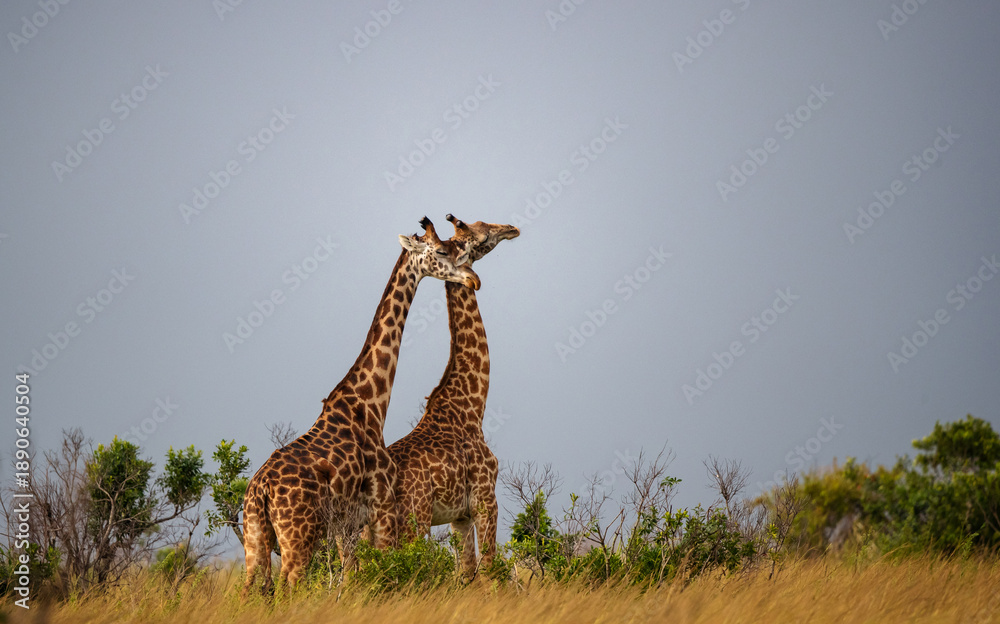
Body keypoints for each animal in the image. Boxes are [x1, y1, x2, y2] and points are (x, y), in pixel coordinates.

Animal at [241, 218, 481, 596]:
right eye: (442, 251)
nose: (473, 279)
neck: (369, 404)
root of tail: (260, 490)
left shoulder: (349, 525)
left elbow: (350, 579)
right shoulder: (381, 506)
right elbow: (383, 574)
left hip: (253, 535)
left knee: (250, 589)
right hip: (297, 537)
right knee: (289, 587)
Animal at [386, 214, 519, 578]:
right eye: (480, 233)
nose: (512, 229)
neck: (472, 406)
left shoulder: (459, 517)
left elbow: (467, 573)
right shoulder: (486, 501)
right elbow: (489, 571)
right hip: (413, 521)